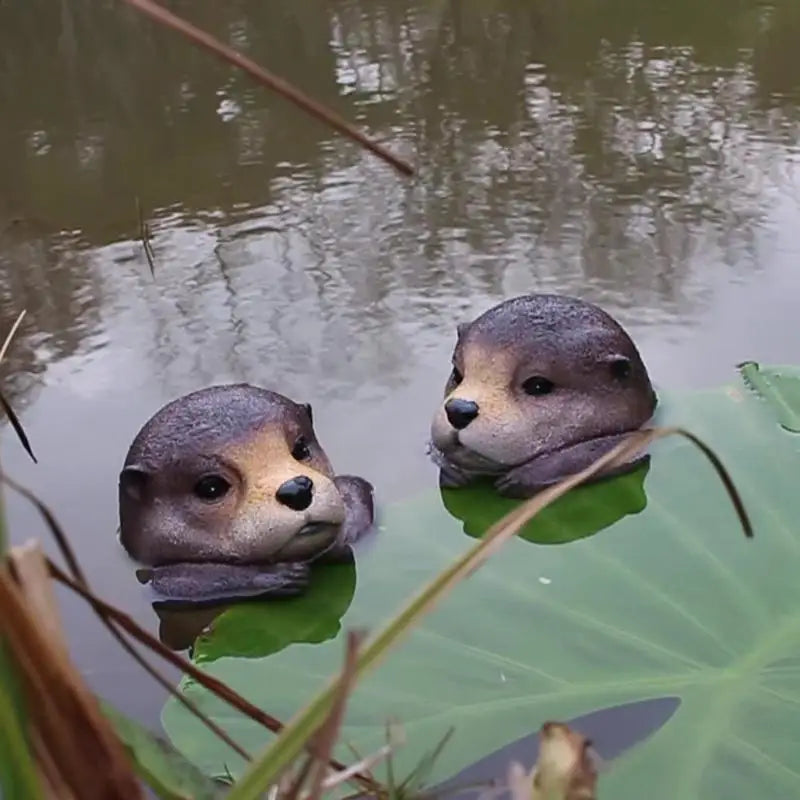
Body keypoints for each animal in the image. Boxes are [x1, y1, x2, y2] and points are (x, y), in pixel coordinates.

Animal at [118, 384, 374, 602]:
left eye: (301, 448)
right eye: (211, 487)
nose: (297, 489)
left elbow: (358, 489)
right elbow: (174, 581)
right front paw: (278, 575)